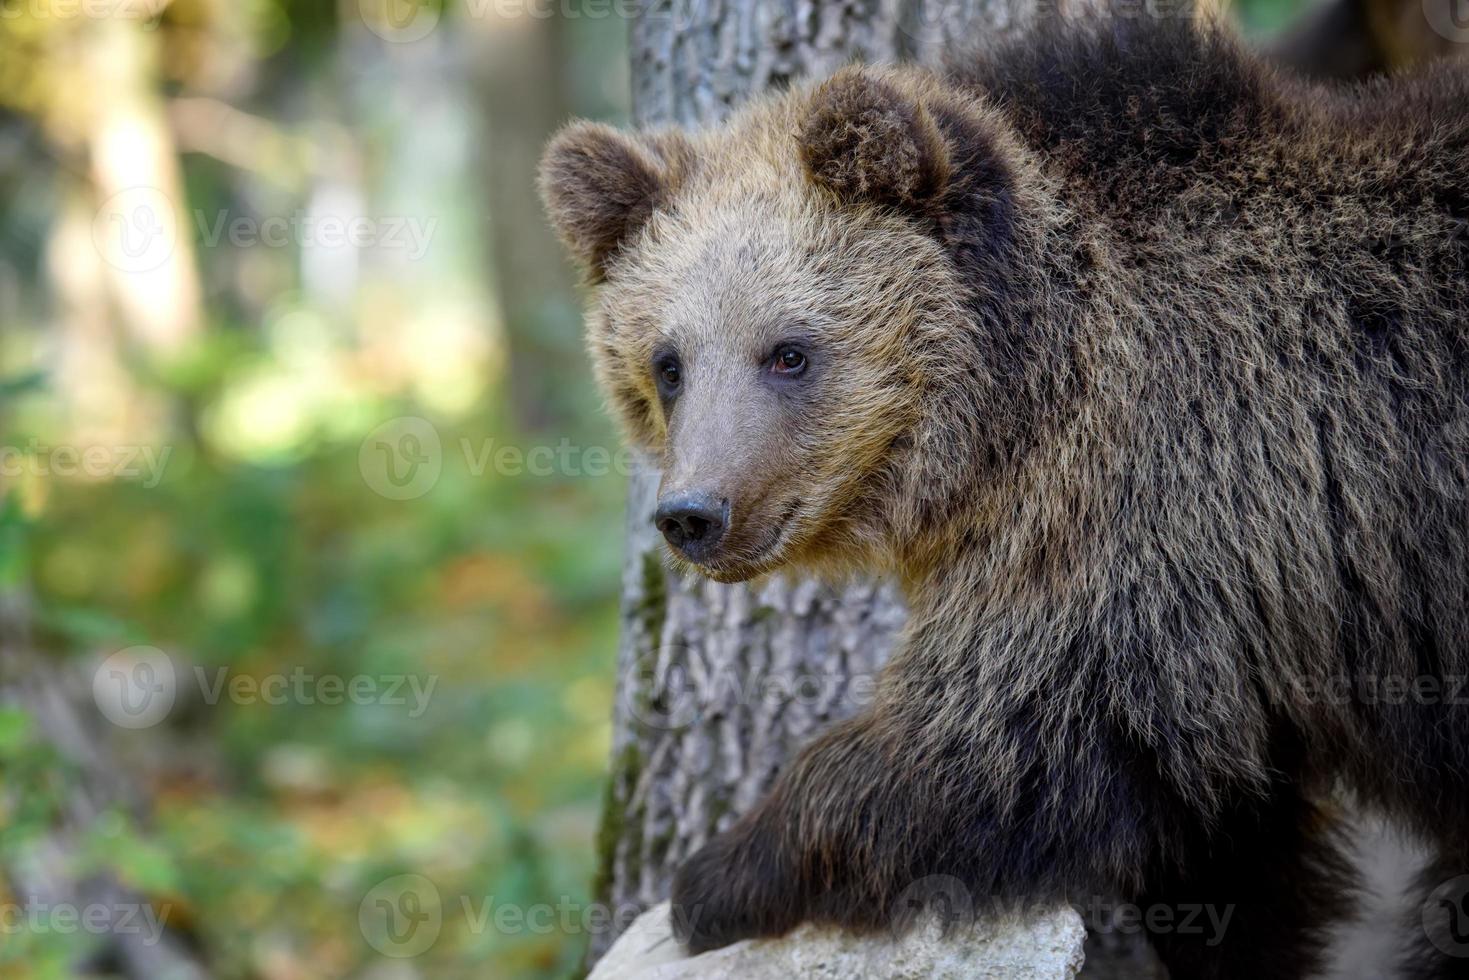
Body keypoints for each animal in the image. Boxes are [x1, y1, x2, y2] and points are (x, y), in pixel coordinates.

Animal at [540, 17, 1469, 980]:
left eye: (788, 351)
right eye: (668, 363)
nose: (693, 513)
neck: (1012, 408)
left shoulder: (1149, 508)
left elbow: (992, 746)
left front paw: (712, 877)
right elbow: (1226, 840)